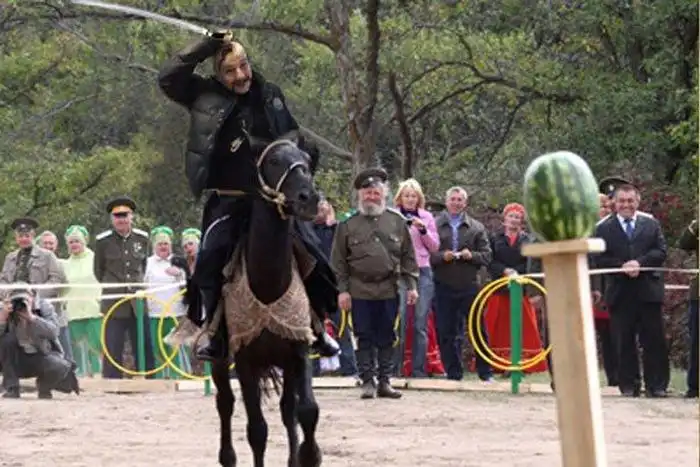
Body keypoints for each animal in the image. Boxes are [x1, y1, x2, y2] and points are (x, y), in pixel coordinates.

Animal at [210, 137, 323, 467]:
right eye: (273, 162)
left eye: (306, 161)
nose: (308, 198)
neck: (269, 287)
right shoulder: (245, 360)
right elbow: (257, 430)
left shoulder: (298, 350)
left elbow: (306, 411)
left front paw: (309, 455)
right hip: (220, 361)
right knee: (225, 403)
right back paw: (227, 457)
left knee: (287, 411)